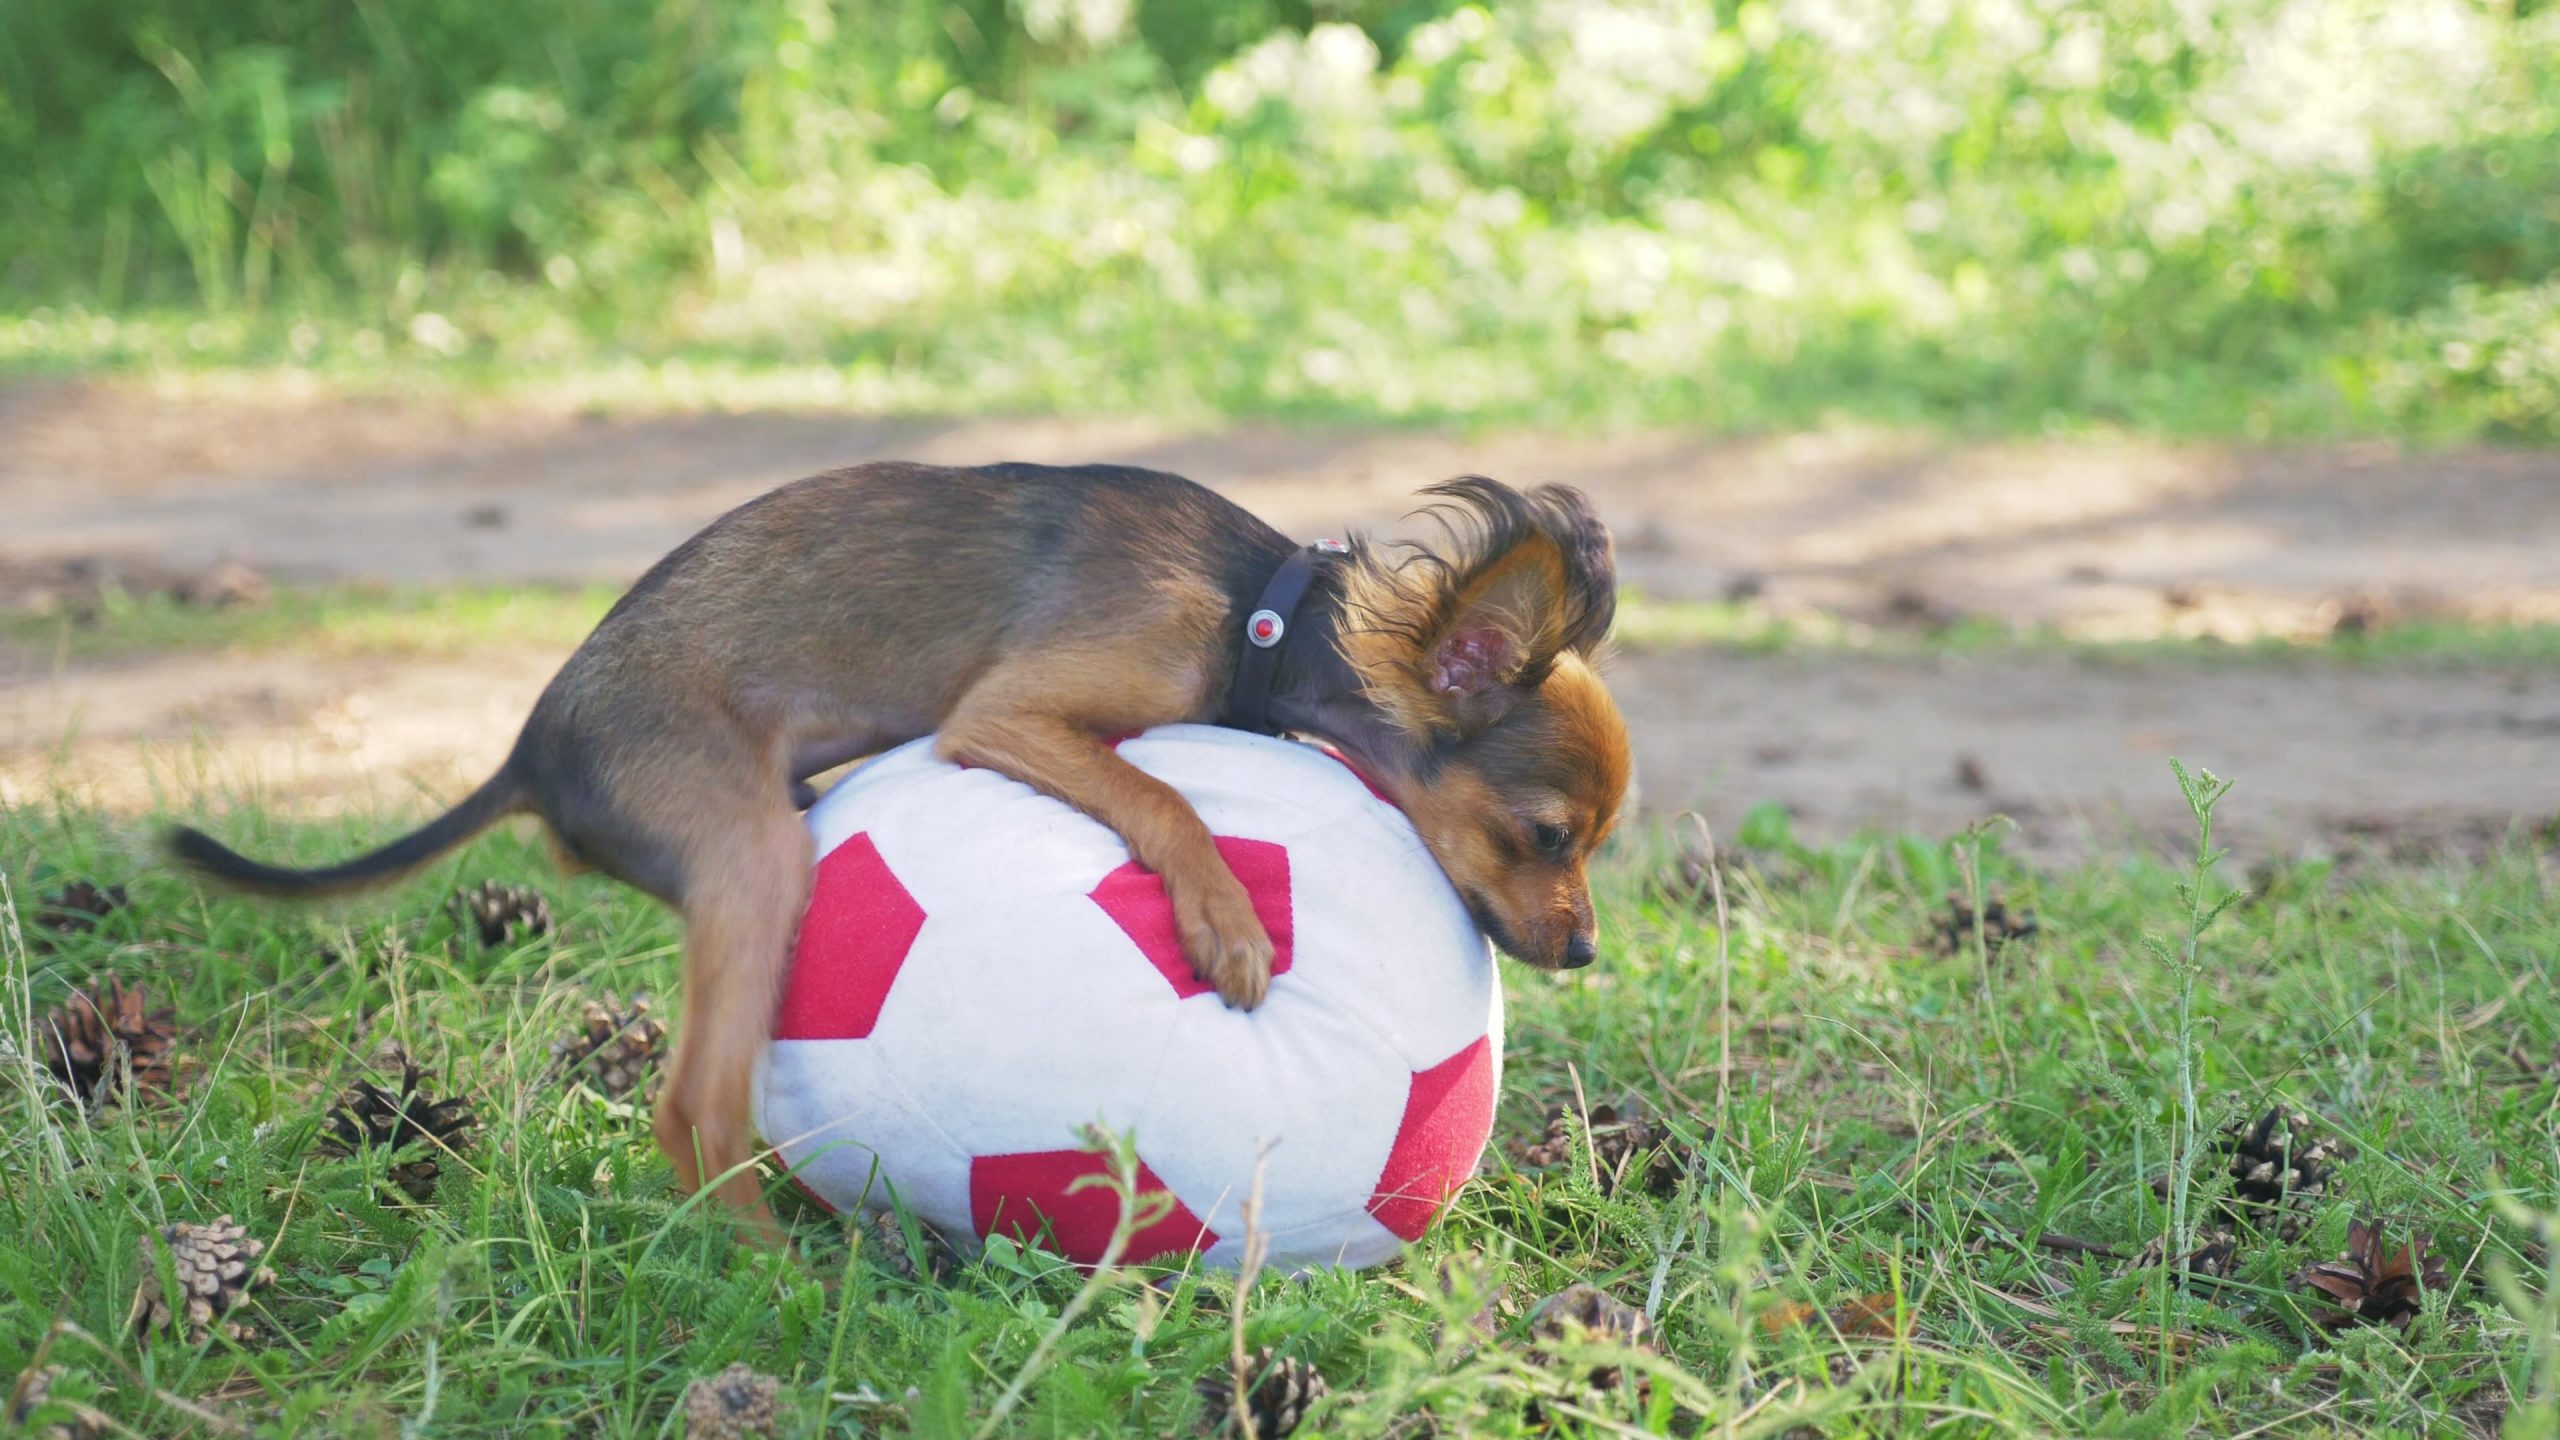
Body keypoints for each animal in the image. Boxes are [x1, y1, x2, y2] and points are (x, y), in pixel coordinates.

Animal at [170, 466, 1628, 1229]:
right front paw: (1223, 915)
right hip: (754, 858)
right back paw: (771, 1271)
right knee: (693, 1105)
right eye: (1544, 834)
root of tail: (531, 754)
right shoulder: (1010, 717)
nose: (1585, 951)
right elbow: (1160, 797)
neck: (1261, 621)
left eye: (1593, 849)